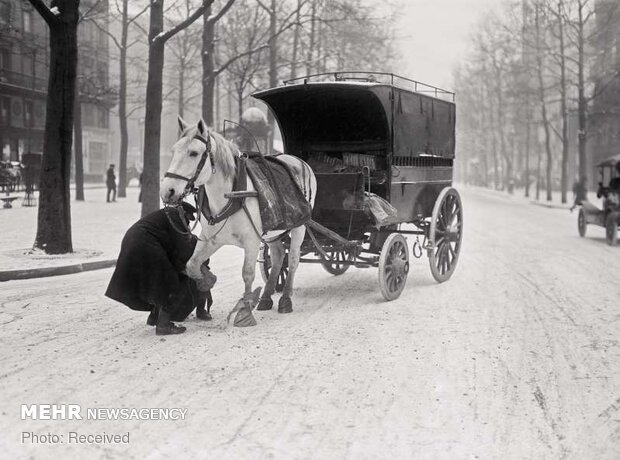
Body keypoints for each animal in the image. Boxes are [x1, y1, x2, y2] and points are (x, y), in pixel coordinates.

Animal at [161, 118, 314, 328]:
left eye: (193, 153)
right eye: (174, 150)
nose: (167, 191)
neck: (230, 195)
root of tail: (299, 161)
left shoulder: (251, 241)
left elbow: (247, 274)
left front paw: (245, 311)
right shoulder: (211, 239)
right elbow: (192, 265)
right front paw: (206, 282)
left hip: (299, 226)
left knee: (292, 259)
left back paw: (285, 298)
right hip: (272, 231)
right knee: (278, 256)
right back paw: (266, 297)